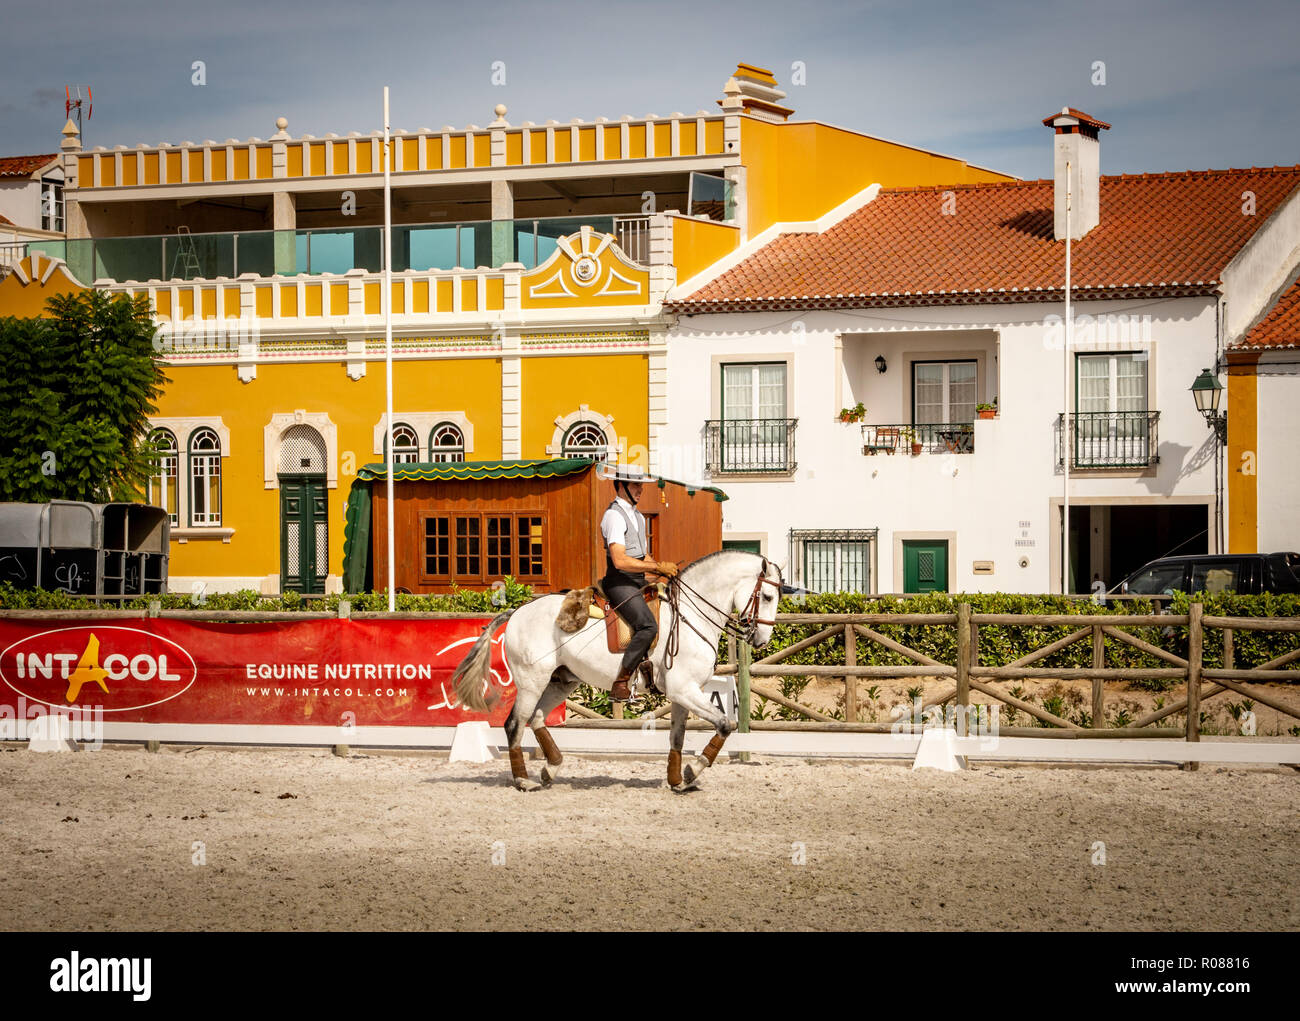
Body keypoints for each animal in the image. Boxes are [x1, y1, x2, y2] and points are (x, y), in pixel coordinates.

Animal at [451, 550, 783, 792]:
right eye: (767, 597)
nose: (762, 640)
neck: (691, 616)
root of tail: (518, 611)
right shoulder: (684, 690)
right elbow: (725, 724)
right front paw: (692, 770)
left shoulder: (683, 694)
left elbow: (677, 737)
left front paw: (677, 780)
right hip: (532, 681)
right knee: (515, 724)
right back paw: (523, 780)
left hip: (562, 680)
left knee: (537, 718)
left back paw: (550, 769)